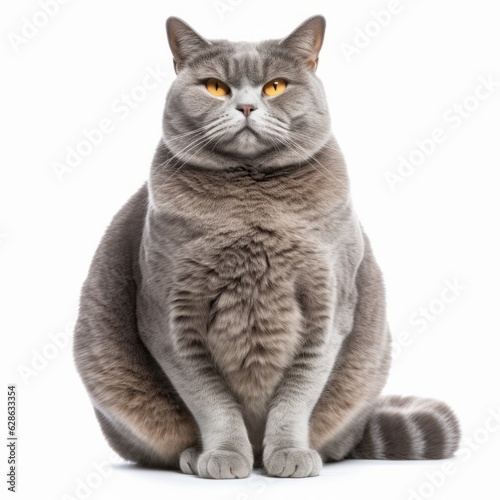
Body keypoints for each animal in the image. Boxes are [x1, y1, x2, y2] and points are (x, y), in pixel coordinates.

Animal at [72, 13, 458, 478]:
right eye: (215, 86)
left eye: (275, 86)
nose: (246, 106)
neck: (252, 206)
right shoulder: (169, 315)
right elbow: (210, 399)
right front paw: (223, 456)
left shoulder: (329, 304)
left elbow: (299, 392)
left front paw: (290, 454)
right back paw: (194, 456)